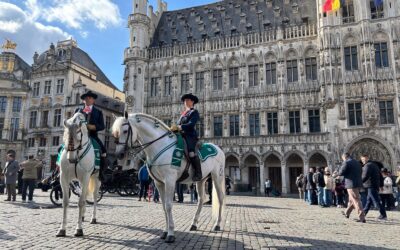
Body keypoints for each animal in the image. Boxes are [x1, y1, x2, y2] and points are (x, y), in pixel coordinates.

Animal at [112, 113, 225, 242]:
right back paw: (194, 224)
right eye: (115, 132)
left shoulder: (170, 180)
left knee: (220, 198)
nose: (119, 154)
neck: (160, 146)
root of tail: (219, 148)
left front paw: (171, 234)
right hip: (201, 179)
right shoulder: (159, 183)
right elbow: (163, 207)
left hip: (217, 177)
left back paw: (217, 224)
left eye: (125, 131)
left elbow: (169, 205)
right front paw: (165, 232)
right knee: (201, 199)